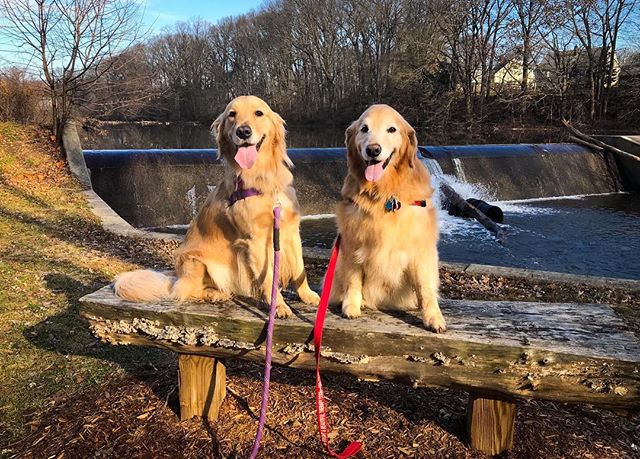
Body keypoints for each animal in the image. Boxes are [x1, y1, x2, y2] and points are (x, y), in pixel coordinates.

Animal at [114, 95, 320, 318]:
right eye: (232, 115)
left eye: (259, 113)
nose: (243, 131)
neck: (262, 179)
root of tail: (176, 277)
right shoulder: (255, 241)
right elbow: (269, 280)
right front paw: (279, 306)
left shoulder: (291, 230)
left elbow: (300, 268)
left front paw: (307, 295)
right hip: (195, 261)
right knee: (186, 291)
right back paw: (215, 293)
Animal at [330, 105, 444, 330]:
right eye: (364, 128)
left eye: (391, 129)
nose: (373, 149)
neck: (384, 193)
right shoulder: (351, 241)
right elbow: (353, 279)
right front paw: (351, 305)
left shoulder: (421, 249)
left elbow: (425, 288)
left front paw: (434, 316)